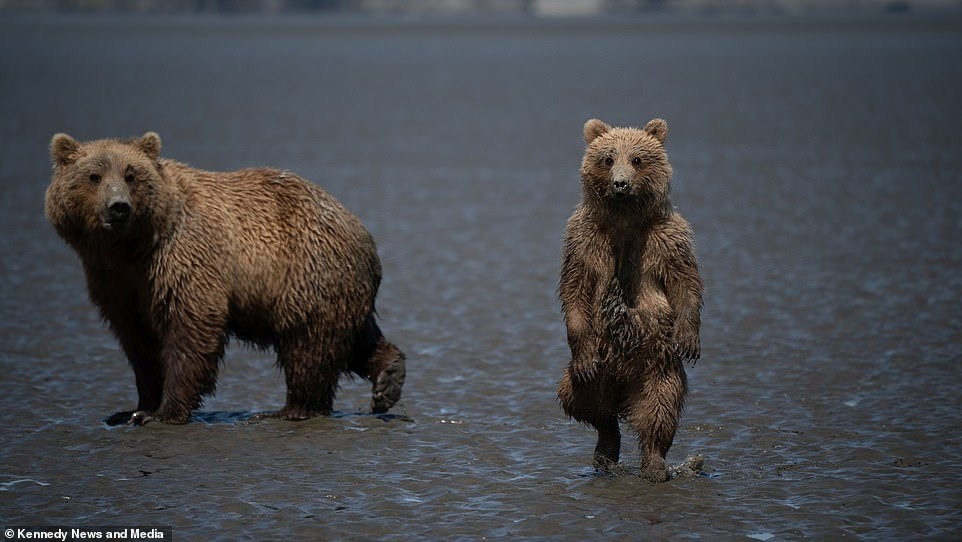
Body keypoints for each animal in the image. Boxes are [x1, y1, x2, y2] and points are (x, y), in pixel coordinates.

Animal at [45, 132, 404, 424]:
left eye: (131, 174)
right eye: (94, 175)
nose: (118, 206)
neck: (133, 247)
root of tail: (360, 229)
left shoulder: (183, 260)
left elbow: (190, 329)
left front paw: (164, 412)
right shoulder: (117, 282)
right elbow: (140, 344)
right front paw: (134, 408)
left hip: (307, 271)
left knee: (308, 343)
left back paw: (290, 409)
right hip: (339, 285)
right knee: (353, 337)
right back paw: (388, 377)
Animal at [552, 119, 700, 484]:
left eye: (637, 159)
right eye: (608, 158)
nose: (620, 184)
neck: (624, 218)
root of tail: (622, 385)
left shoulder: (666, 239)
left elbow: (685, 282)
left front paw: (689, 338)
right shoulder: (584, 240)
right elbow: (574, 287)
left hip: (656, 361)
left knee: (660, 406)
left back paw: (655, 464)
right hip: (601, 361)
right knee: (582, 398)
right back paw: (607, 444)